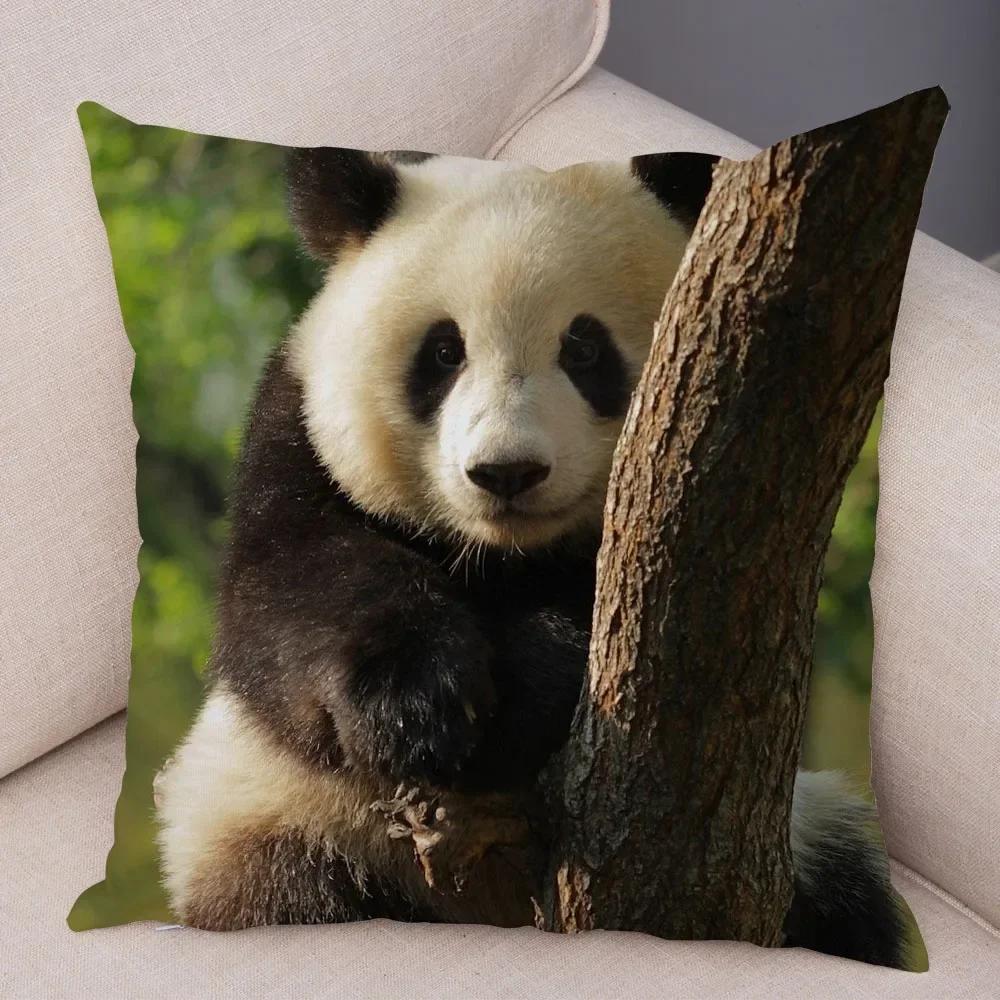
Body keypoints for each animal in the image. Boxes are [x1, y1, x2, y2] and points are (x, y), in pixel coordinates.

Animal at [156, 147, 907, 968]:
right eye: (443, 351)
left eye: (583, 347)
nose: (506, 473)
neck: (500, 557)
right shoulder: (296, 437)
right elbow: (289, 597)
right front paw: (420, 707)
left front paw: (525, 689)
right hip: (279, 826)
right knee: (290, 892)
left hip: (808, 837)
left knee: (849, 898)